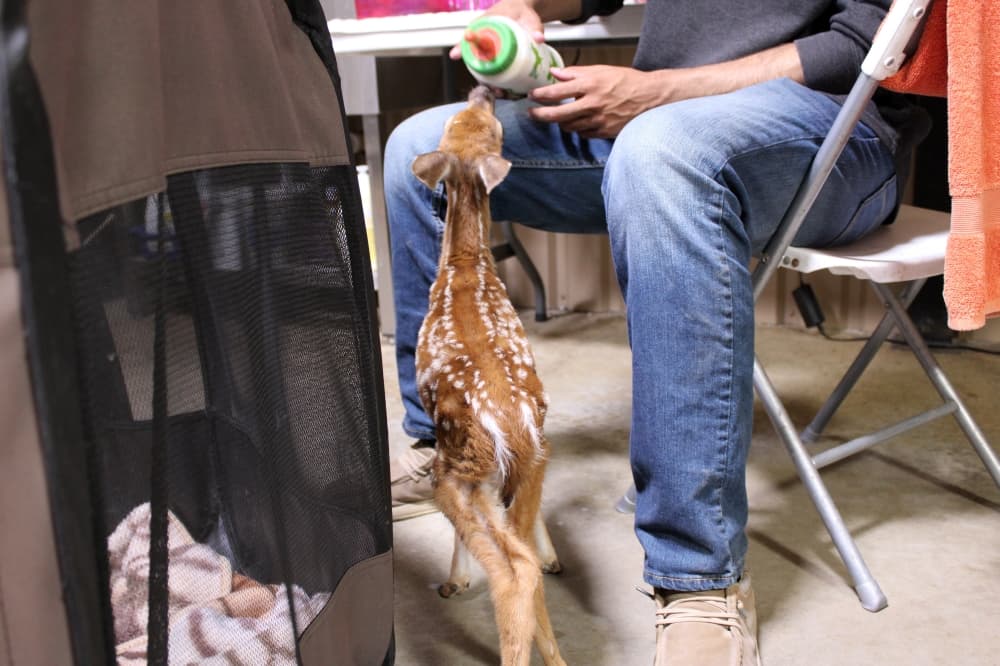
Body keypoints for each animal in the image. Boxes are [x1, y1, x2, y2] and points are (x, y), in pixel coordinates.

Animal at [411, 85, 566, 666]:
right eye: (461, 121)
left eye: (489, 126)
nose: (482, 90)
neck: (464, 265)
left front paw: (454, 580)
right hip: (529, 451)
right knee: (525, 555)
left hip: (460, 471)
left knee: (513, 570)